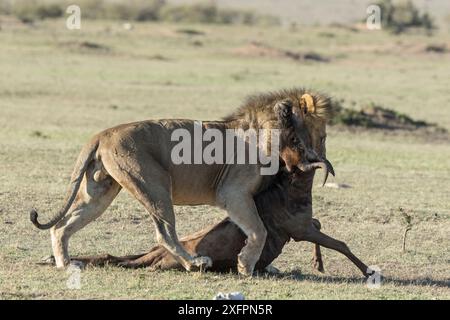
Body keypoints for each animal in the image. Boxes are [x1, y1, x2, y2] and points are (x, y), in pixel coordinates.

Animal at [29, 89, 334, 276]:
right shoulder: (232, 193)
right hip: (155, 185)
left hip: (99, 191)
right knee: (164, 233)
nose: (323, 160)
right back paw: (194, 263)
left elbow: (252, 229)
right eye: (324, 136)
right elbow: (259, 230)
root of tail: (102, 134)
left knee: (62, 226)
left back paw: (66, 264)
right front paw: (246, 264)